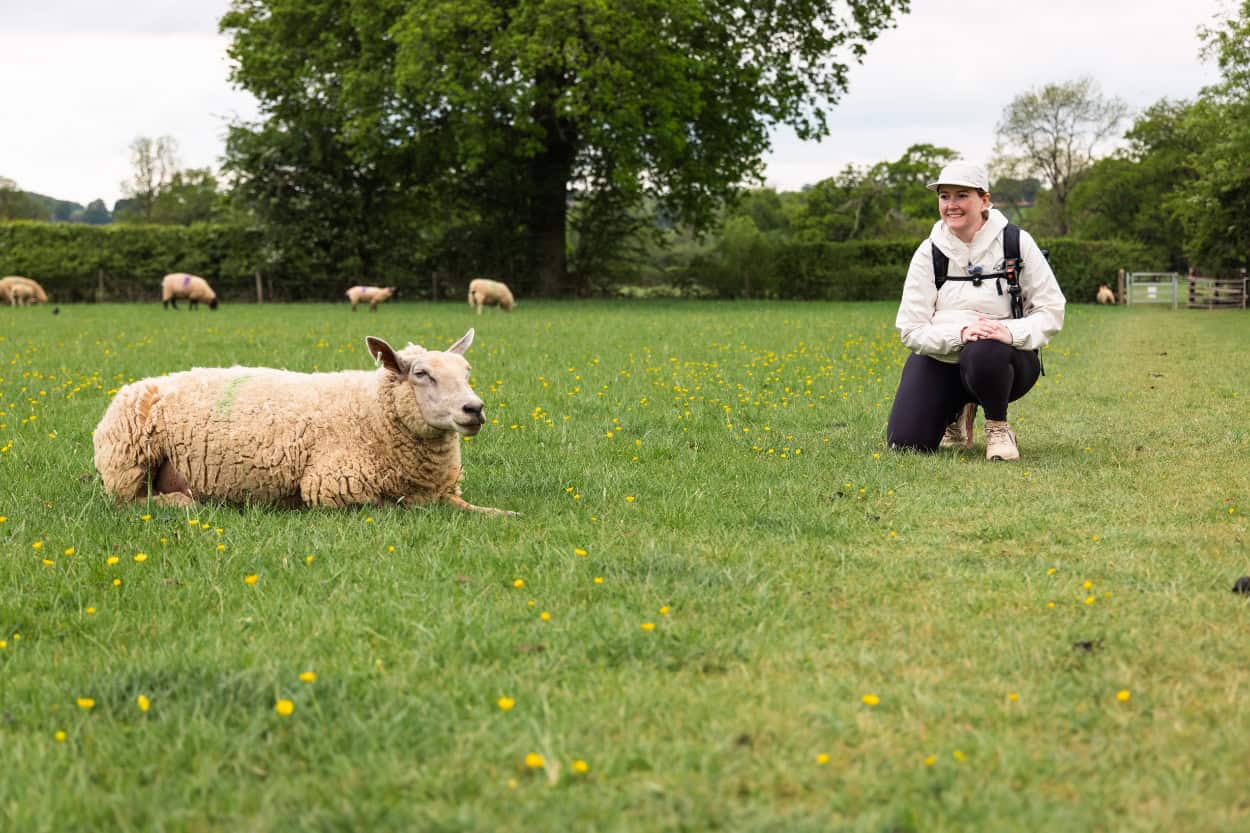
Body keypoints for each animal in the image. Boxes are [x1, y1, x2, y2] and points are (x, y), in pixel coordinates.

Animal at [92, 328, 514, 516]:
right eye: (422, 374)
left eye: (466, 371)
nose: (474, 409)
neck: (372, 414)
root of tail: (134, 385)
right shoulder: (331, 487)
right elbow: (395, 505)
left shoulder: (442, 489)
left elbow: (470, 507)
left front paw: (504, 515)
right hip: (128, 463)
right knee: (129, 502)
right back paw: (182, 501)